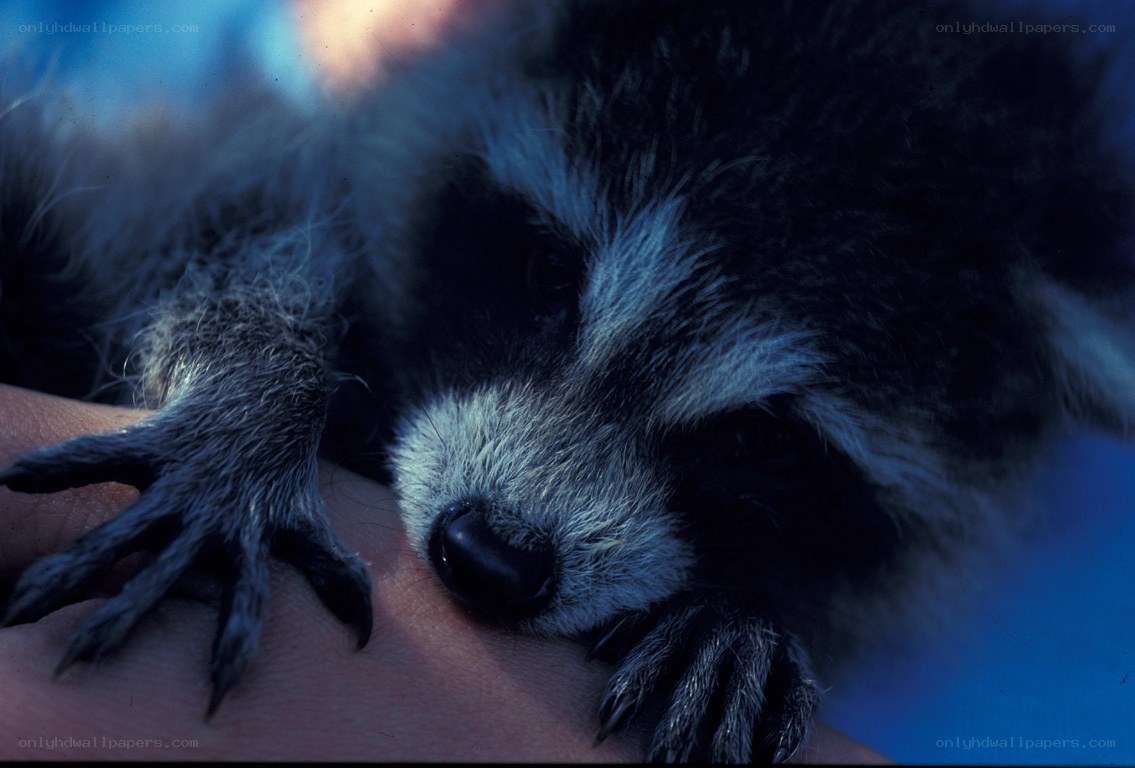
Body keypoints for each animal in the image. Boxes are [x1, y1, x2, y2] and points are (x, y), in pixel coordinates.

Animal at [1, 0, 1132, 762]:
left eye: (757, 440)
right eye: (548, 271)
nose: (487, 558)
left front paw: (740, 608)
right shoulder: (227, 164)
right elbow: (206, 227)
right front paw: (260, 389)